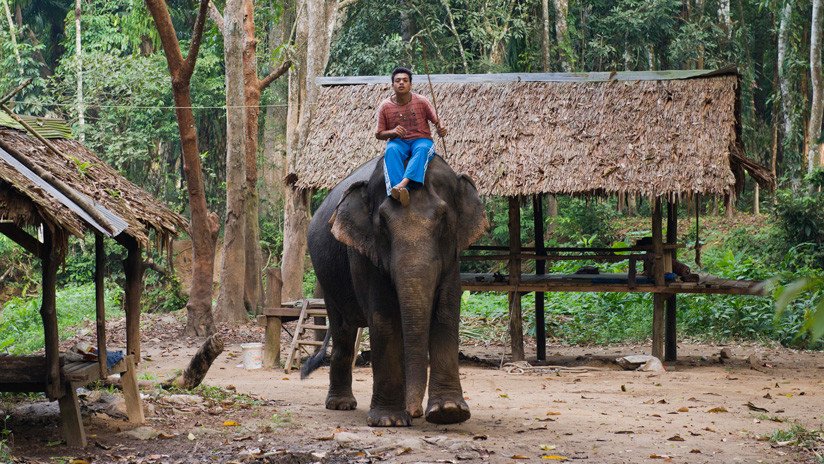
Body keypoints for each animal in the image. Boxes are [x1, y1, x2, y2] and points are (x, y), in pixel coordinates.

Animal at [302, 154, 487, 427]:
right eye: (383, 224)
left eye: (444, 219)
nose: (415, 411)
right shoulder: (366, 253)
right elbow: (384, 316)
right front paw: (389, 420)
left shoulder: (452, 258)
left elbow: (446, 311)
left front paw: (449, 412)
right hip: (327, 280)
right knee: (342, 330)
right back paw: (341, 405)